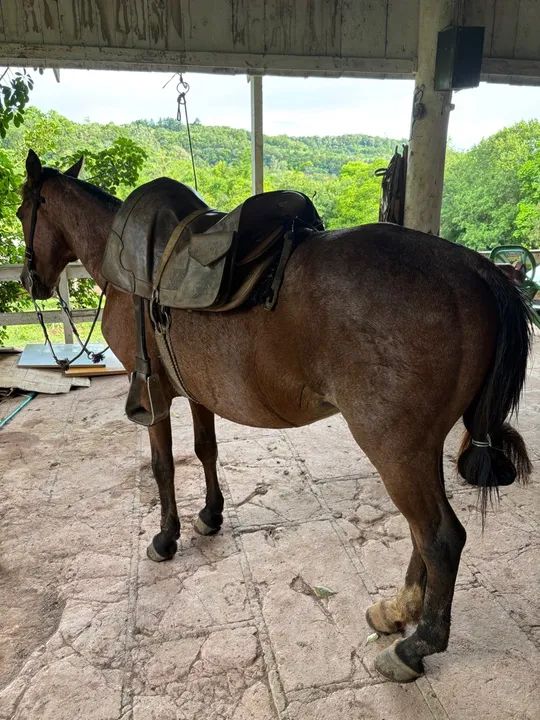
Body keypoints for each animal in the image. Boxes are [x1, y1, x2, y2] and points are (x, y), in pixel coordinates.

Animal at [17, 149, 532, 683]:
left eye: (20, 211)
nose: (30, 281)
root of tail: (475, 267)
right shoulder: (197, 391)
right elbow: (206, 451)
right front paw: (210, 515)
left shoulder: (153, 394)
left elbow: (163, 467)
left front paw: (165, 537)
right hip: (420, 449)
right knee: (421, 534)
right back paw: (397, 610)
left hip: (396, 449)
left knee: (440, 538)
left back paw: (415, 646)